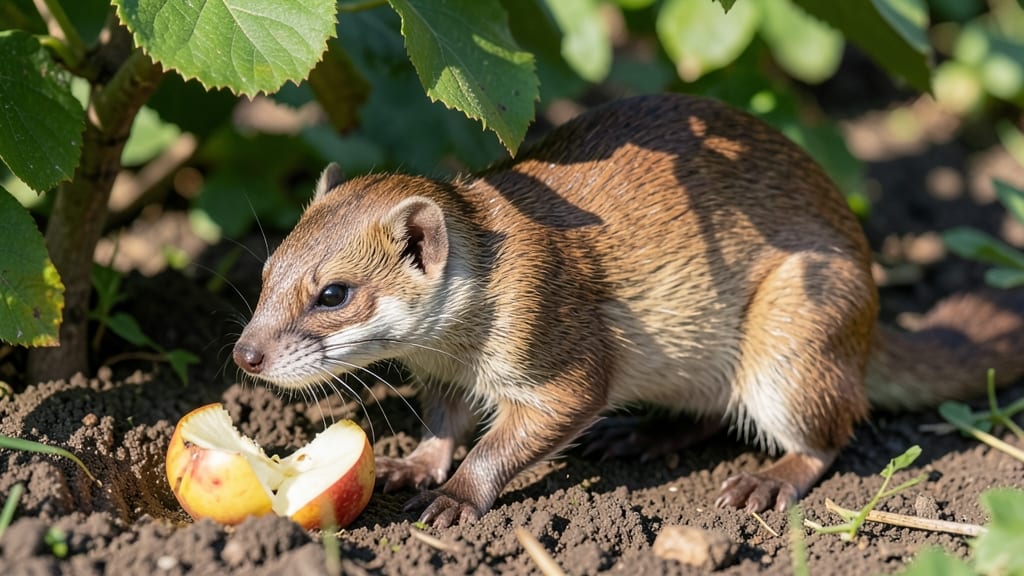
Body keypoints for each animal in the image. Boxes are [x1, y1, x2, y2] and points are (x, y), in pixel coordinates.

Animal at [233, 93, 1024, 528]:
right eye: (266, 272)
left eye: (333, 293)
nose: (245, 354)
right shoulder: (444, 380)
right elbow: (441, 433)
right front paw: (409, 469)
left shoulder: (569, 375)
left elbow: (494, 449)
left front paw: (455, 499)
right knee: (711, 414)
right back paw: (639, 436)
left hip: (790, 347)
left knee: (826, 438)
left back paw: (765, 481)